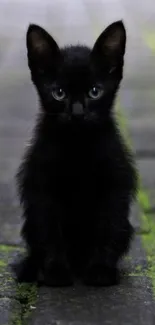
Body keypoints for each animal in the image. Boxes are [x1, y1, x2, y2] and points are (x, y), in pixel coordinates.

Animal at [15, 20, 137, 284]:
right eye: (59, 93)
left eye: (95, 91)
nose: (78, 113)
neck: (78, 146)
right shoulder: (42, 187)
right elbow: (50, 231)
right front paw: (57, 271)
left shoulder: (114, 184)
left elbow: (107, 227)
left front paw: (101, 270)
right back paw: (30, 268)